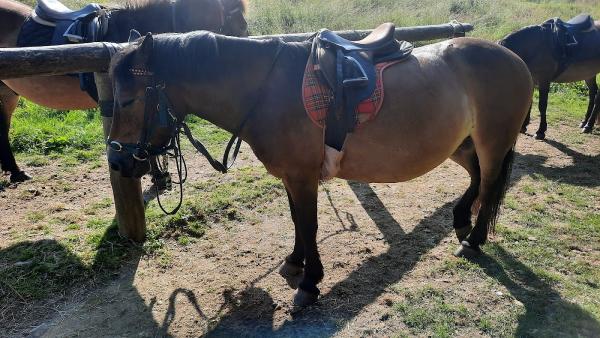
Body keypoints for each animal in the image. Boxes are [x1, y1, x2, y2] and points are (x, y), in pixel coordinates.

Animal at [105, 31, 532, 306]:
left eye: (127, 100)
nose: (117, 161)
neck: (266, 90)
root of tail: (512, 57)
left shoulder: (303, 176)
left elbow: (309, 225)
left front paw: (310, 283)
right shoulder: (291, 177)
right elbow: (297, 221)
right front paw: (295, 262)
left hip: (493, 143)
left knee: (490, 184)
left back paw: (474, 239)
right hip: (462, 144)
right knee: (477, 177)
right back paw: (460, 219)